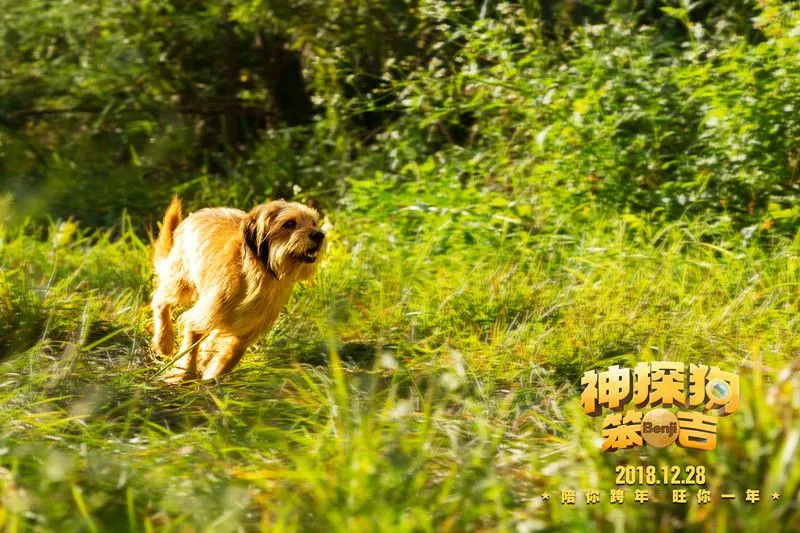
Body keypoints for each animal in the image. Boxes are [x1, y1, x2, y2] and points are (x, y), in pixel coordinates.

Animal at [150, 197, 324, 380]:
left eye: (314, 223)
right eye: (289, 223)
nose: (319, 235)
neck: (259, 276)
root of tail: (194, 215)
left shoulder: (246, 332)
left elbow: (231, 357)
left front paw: (213, 376)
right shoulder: (202, 315)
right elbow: (191, 347)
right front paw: (184, 374)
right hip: (180, 282)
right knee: (159, 300)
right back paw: (164, 341)